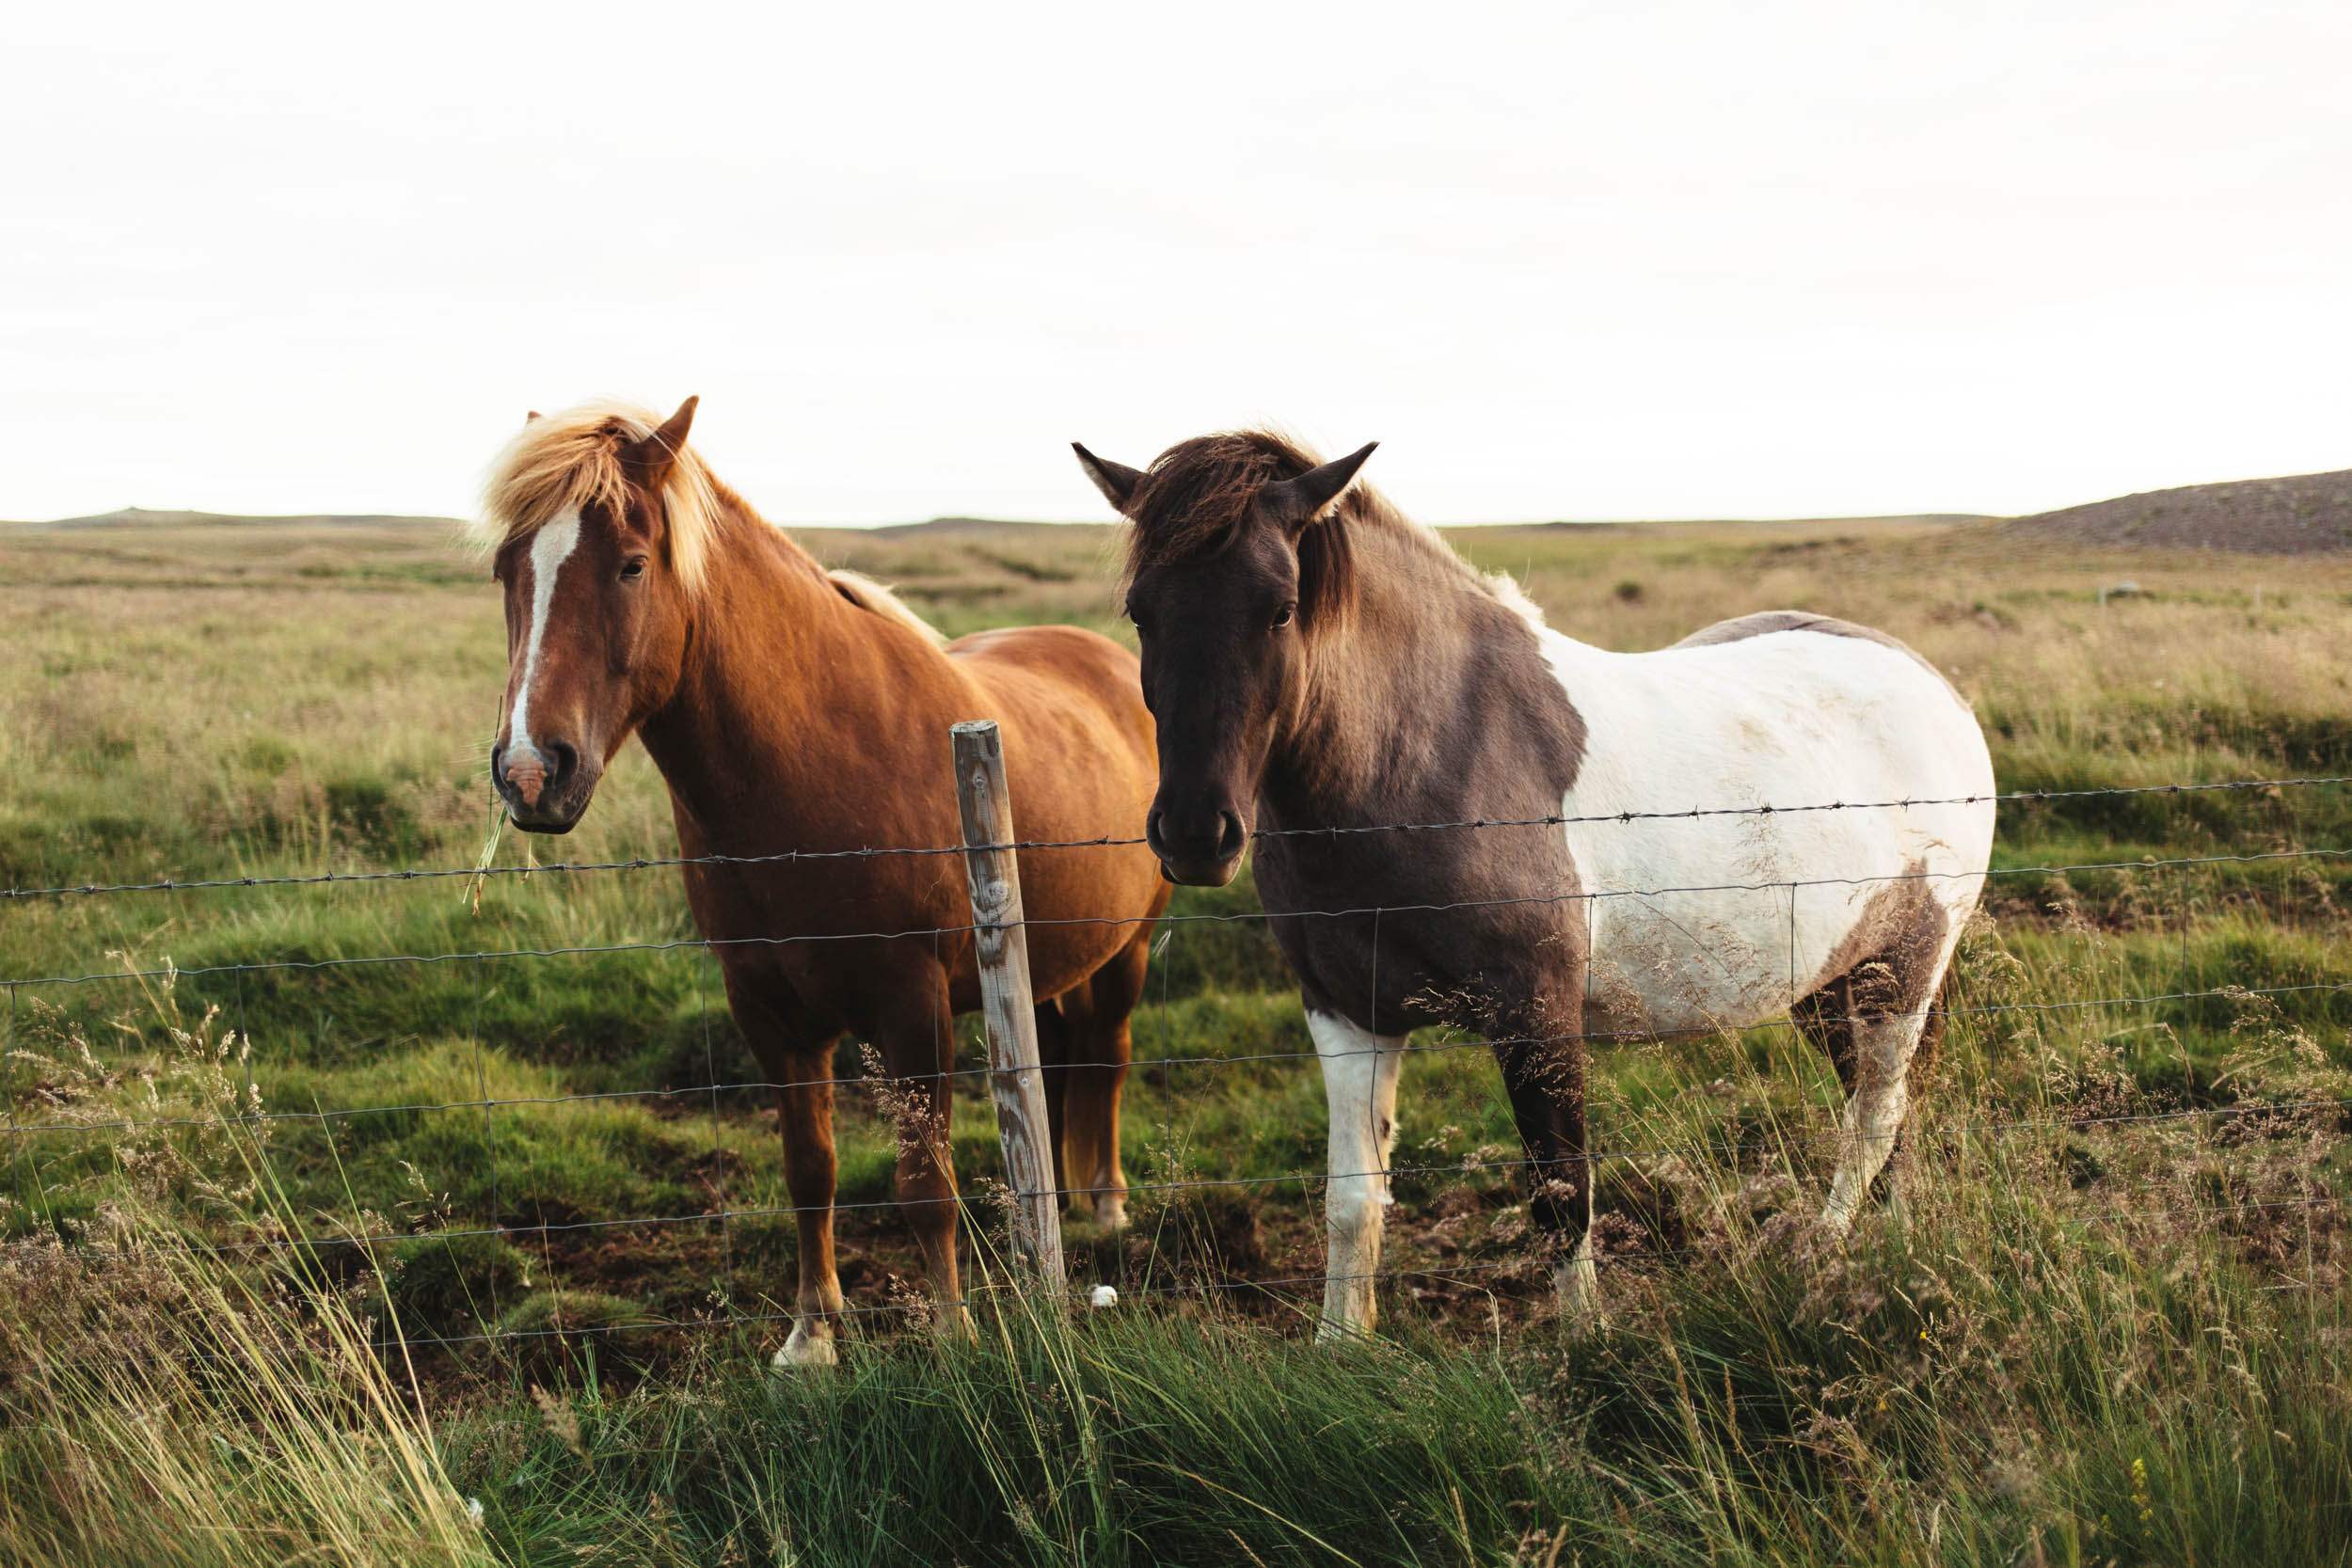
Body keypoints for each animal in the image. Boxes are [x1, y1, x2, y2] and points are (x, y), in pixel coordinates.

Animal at [475, 399, 1167, 1363]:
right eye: (506, 567)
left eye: (632, 564)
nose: (532, 772)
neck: (817, 762)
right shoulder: (767, 1009)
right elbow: (810, 1170)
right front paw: (811, 1335)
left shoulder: (912, 1006)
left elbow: (925, 1183)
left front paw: (951, 1335)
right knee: (1064, 1058)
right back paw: (1057, 1206)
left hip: (1129, 948)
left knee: (1109, 1054)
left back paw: (1104, 1205)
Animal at [1077, 430, 1994, 1335]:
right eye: (1141, 611)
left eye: (1279, 607)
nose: (1196, 834)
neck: (1428, 758)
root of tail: (1933, 685)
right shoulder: (1347, 1014)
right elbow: (1352, 1204)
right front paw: (1341, 1344)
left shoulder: (1536, 1017)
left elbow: (1563, 1197)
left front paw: (1586, 1350)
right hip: (1831, 982)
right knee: (1888, 1114)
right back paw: (1890, 1250)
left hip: (1903, 974)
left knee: (1876, 1115)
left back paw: (1826, 1254)